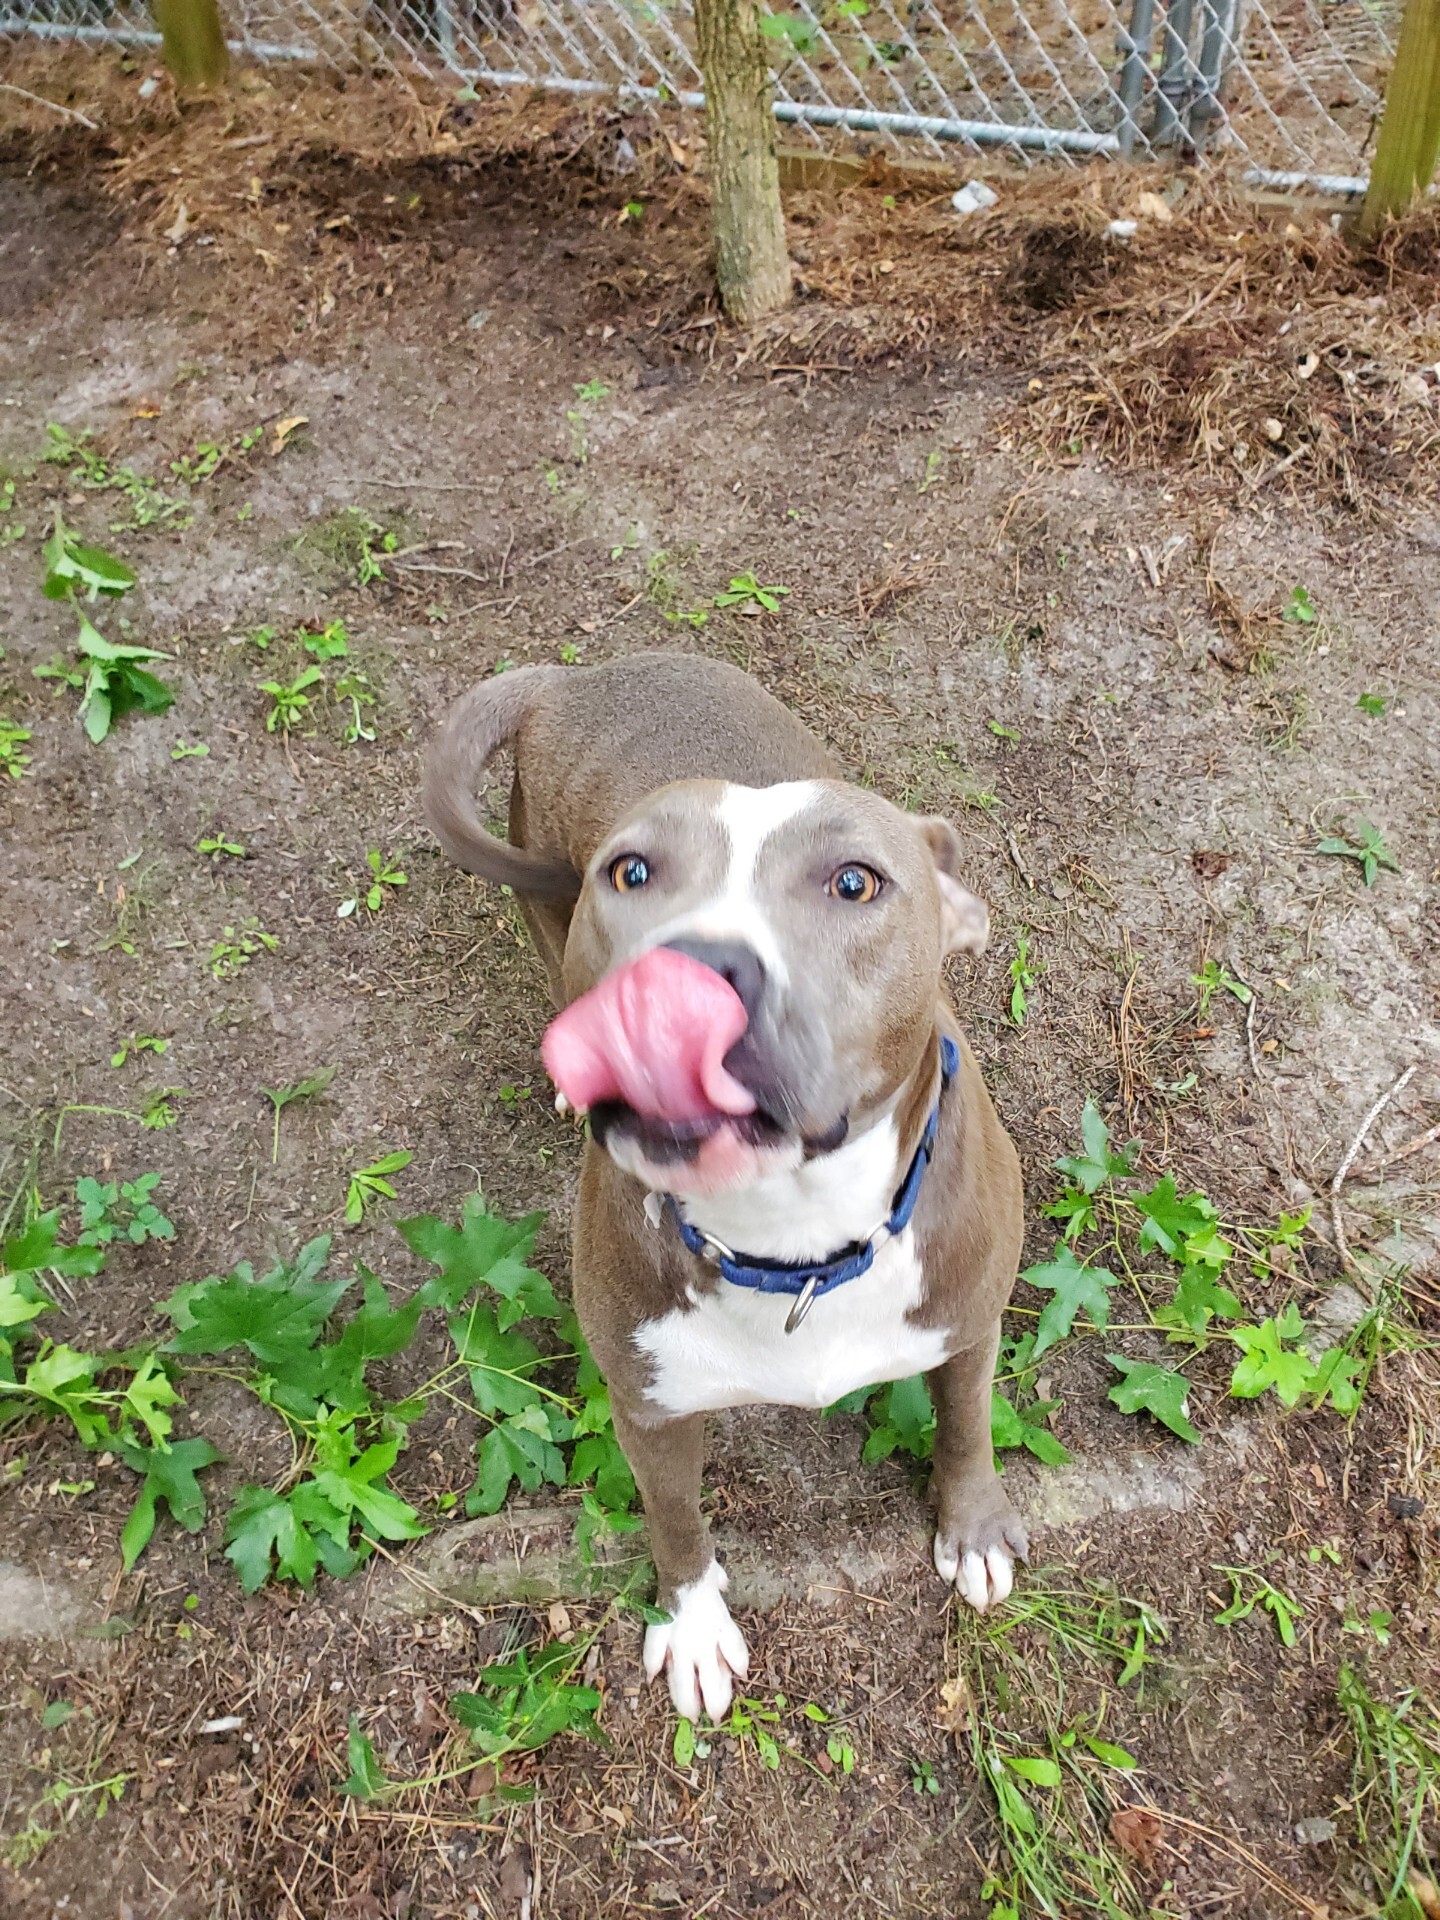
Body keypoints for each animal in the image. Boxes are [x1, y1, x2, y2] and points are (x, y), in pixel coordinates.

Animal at [422, 652, 1029, 1720]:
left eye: (855, 882)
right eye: (631, 871)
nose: (682, 977)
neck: (794, 1241)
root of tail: (570, 674)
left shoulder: (968, 1319)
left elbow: (966, 1425)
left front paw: (976, 1529)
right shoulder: (650, 1407)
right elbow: (675, 1520)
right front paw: (695, 1626)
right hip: (543, 911)